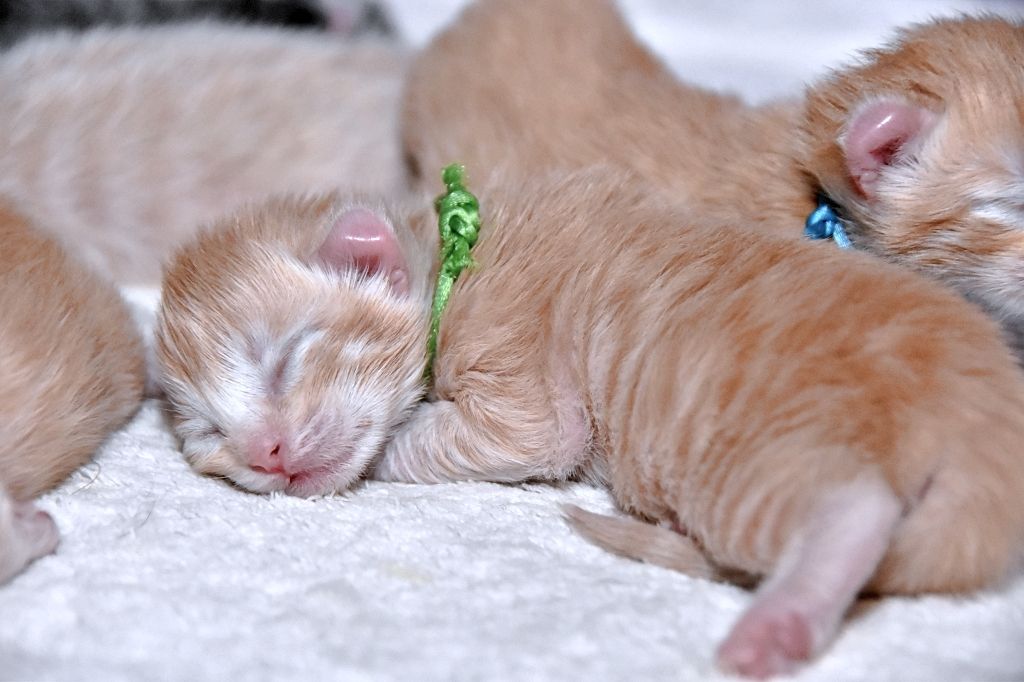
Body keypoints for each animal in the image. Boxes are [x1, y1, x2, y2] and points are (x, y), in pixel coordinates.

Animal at [155, 166, 1024, 677]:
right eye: (207, 437)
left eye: (283, 360)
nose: (266, 453)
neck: (449, 254)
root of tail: (978, 419)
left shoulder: (507, 357)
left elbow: (526, 436)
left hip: (746, 470)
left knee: (854, 507)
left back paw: (774, 625)